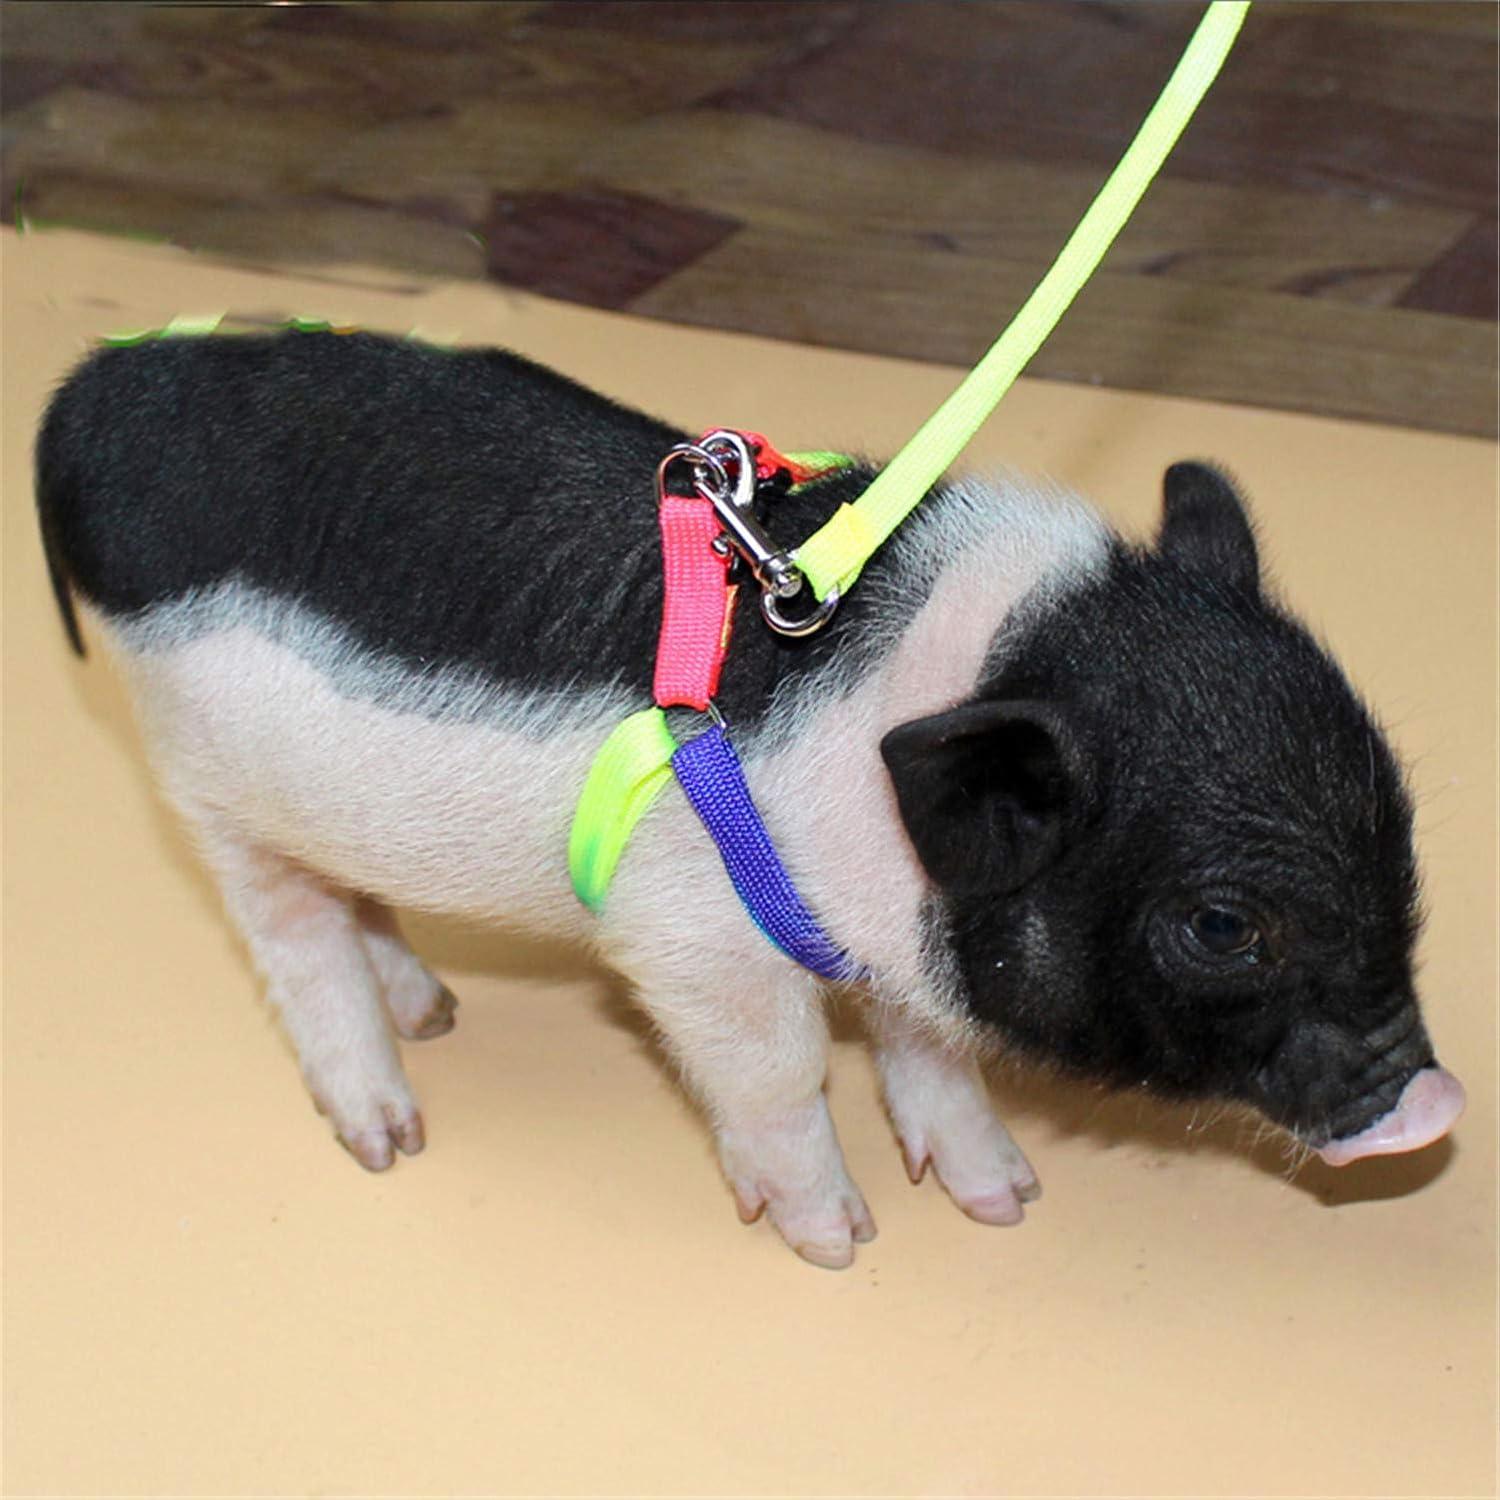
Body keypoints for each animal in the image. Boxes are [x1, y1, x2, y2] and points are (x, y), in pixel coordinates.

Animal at [35, 329, 1465, 1267]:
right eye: (1222, 926)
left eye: (1397, 825)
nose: (1435, 1105)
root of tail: (92, 400)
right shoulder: (689, 940)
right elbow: (781, 1071)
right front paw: (840, 1243)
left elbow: (929, 1045)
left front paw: (1006, 1202)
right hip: (202, 780)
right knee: (293, 935)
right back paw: (392, 1133)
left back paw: (434, 1010)